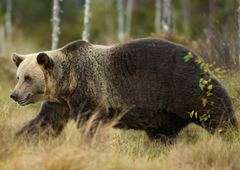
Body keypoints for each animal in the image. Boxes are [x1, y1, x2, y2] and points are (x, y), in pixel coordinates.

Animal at [9, 38, 238, 142]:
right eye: (18, 77)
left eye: (28, 78)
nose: (14, 95)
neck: (67, 82)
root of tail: (199, 58)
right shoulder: (60, 102)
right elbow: (45, 123)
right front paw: (20, 139)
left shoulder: (89, 89)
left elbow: (91, 122)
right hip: (164, 112)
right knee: (163, 134)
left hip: (183, 84)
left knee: (215, 110)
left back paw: (230, 134)